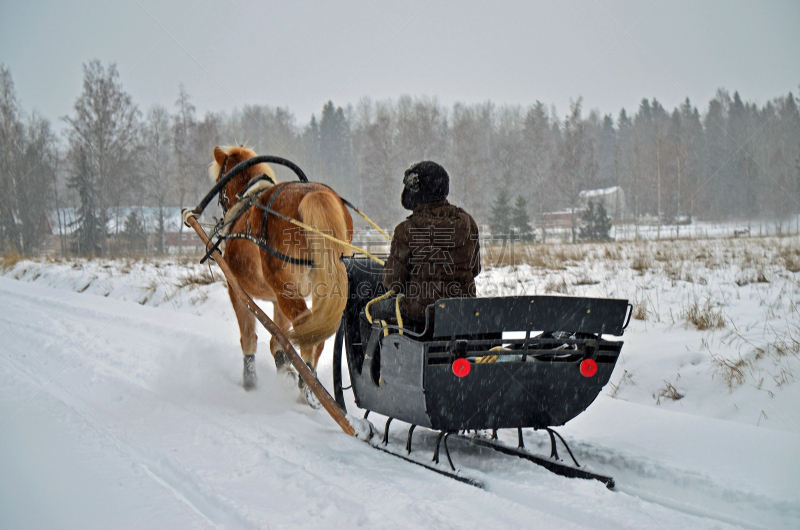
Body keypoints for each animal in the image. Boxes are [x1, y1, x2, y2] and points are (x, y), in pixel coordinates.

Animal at [209, 144, 354, 392]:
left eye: (220, 178)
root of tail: (312, 193)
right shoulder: (277, 299)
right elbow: (278, 340)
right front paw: (284, 368)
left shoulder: (237, 290)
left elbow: (249, 337)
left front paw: (250, 381)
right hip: (324, 289)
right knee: (317, 331)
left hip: (285, 288)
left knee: (305, 325)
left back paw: (307, 385)